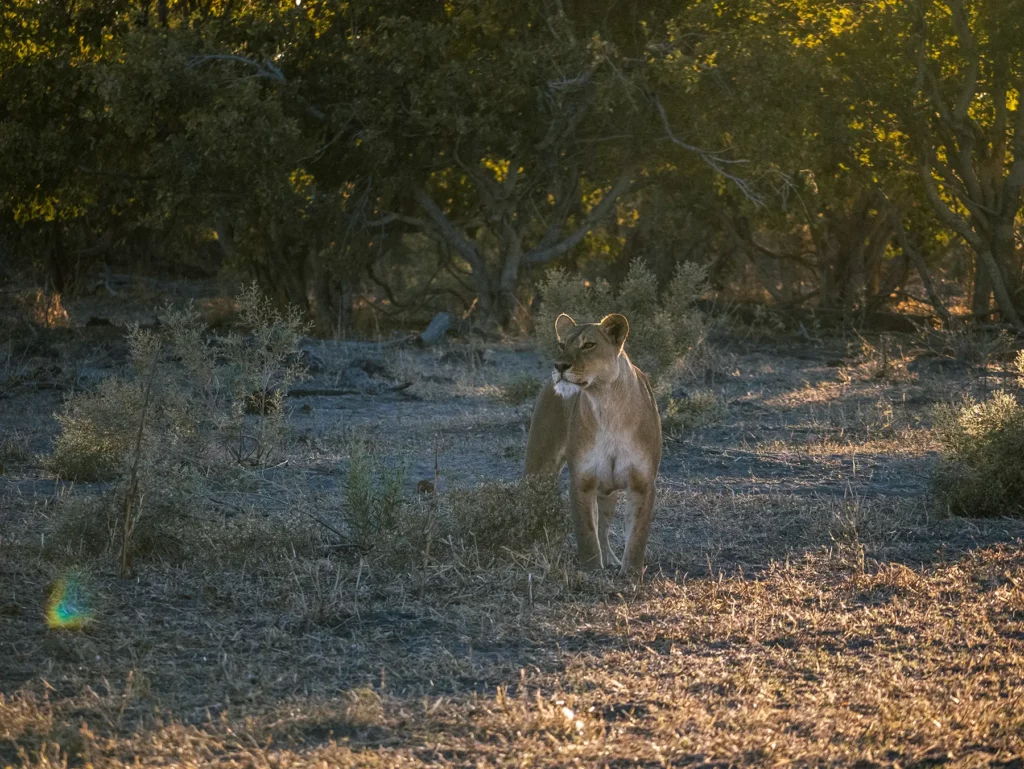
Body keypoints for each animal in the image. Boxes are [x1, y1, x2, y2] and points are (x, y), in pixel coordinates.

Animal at [524, 312, 662, 575]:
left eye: (588, 345)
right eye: (562, 345)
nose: (559, 366)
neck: (606, 403)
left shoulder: (641, 483)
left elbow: (636, 536)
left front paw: (630, 574)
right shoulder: (582, 481)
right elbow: (586, 533)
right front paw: (591, 573)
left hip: (607, 491)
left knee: (604, 526)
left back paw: (611, 559)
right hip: (540, 469)